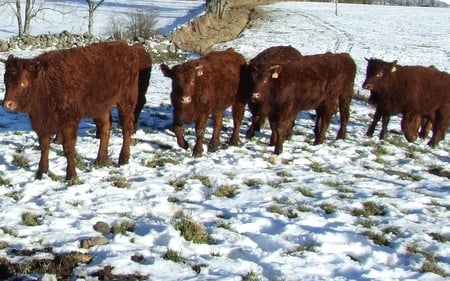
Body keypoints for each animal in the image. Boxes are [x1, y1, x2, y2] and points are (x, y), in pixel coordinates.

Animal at [0, 40, 152, 178]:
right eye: (6, 80)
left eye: (24, 82)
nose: (7, 104)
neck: (48, 84)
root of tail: (128, 48)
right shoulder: (43, 123)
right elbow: (44, 146)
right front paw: (41, 172)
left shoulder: (69, 122)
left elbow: (68, 149)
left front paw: (71, 175)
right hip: (101, 107)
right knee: (105, 128)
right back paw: (101, 159)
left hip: (126, 101)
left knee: (126, 129)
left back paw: (123, 158)